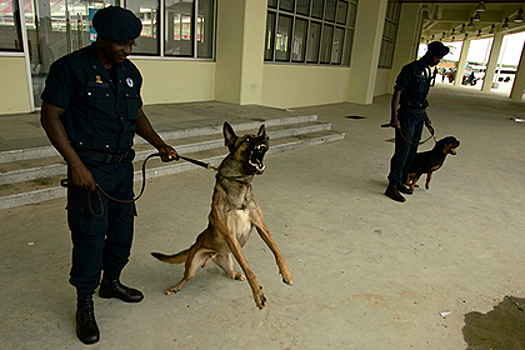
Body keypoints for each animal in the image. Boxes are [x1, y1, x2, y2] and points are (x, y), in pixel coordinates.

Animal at [151, 121, 292, 308]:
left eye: (259, 135)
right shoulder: (231, 236)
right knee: (186, 277)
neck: (238, 184)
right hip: (193, 265)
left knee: (230, 273)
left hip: (229, 260)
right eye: (248, 139)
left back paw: (236, 274)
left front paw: (286, 273)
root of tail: (212, 254)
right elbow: (250, 270)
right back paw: (174, 288)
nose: (266, 137)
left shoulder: (261, 226)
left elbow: (277, 252)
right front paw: (257, 293)